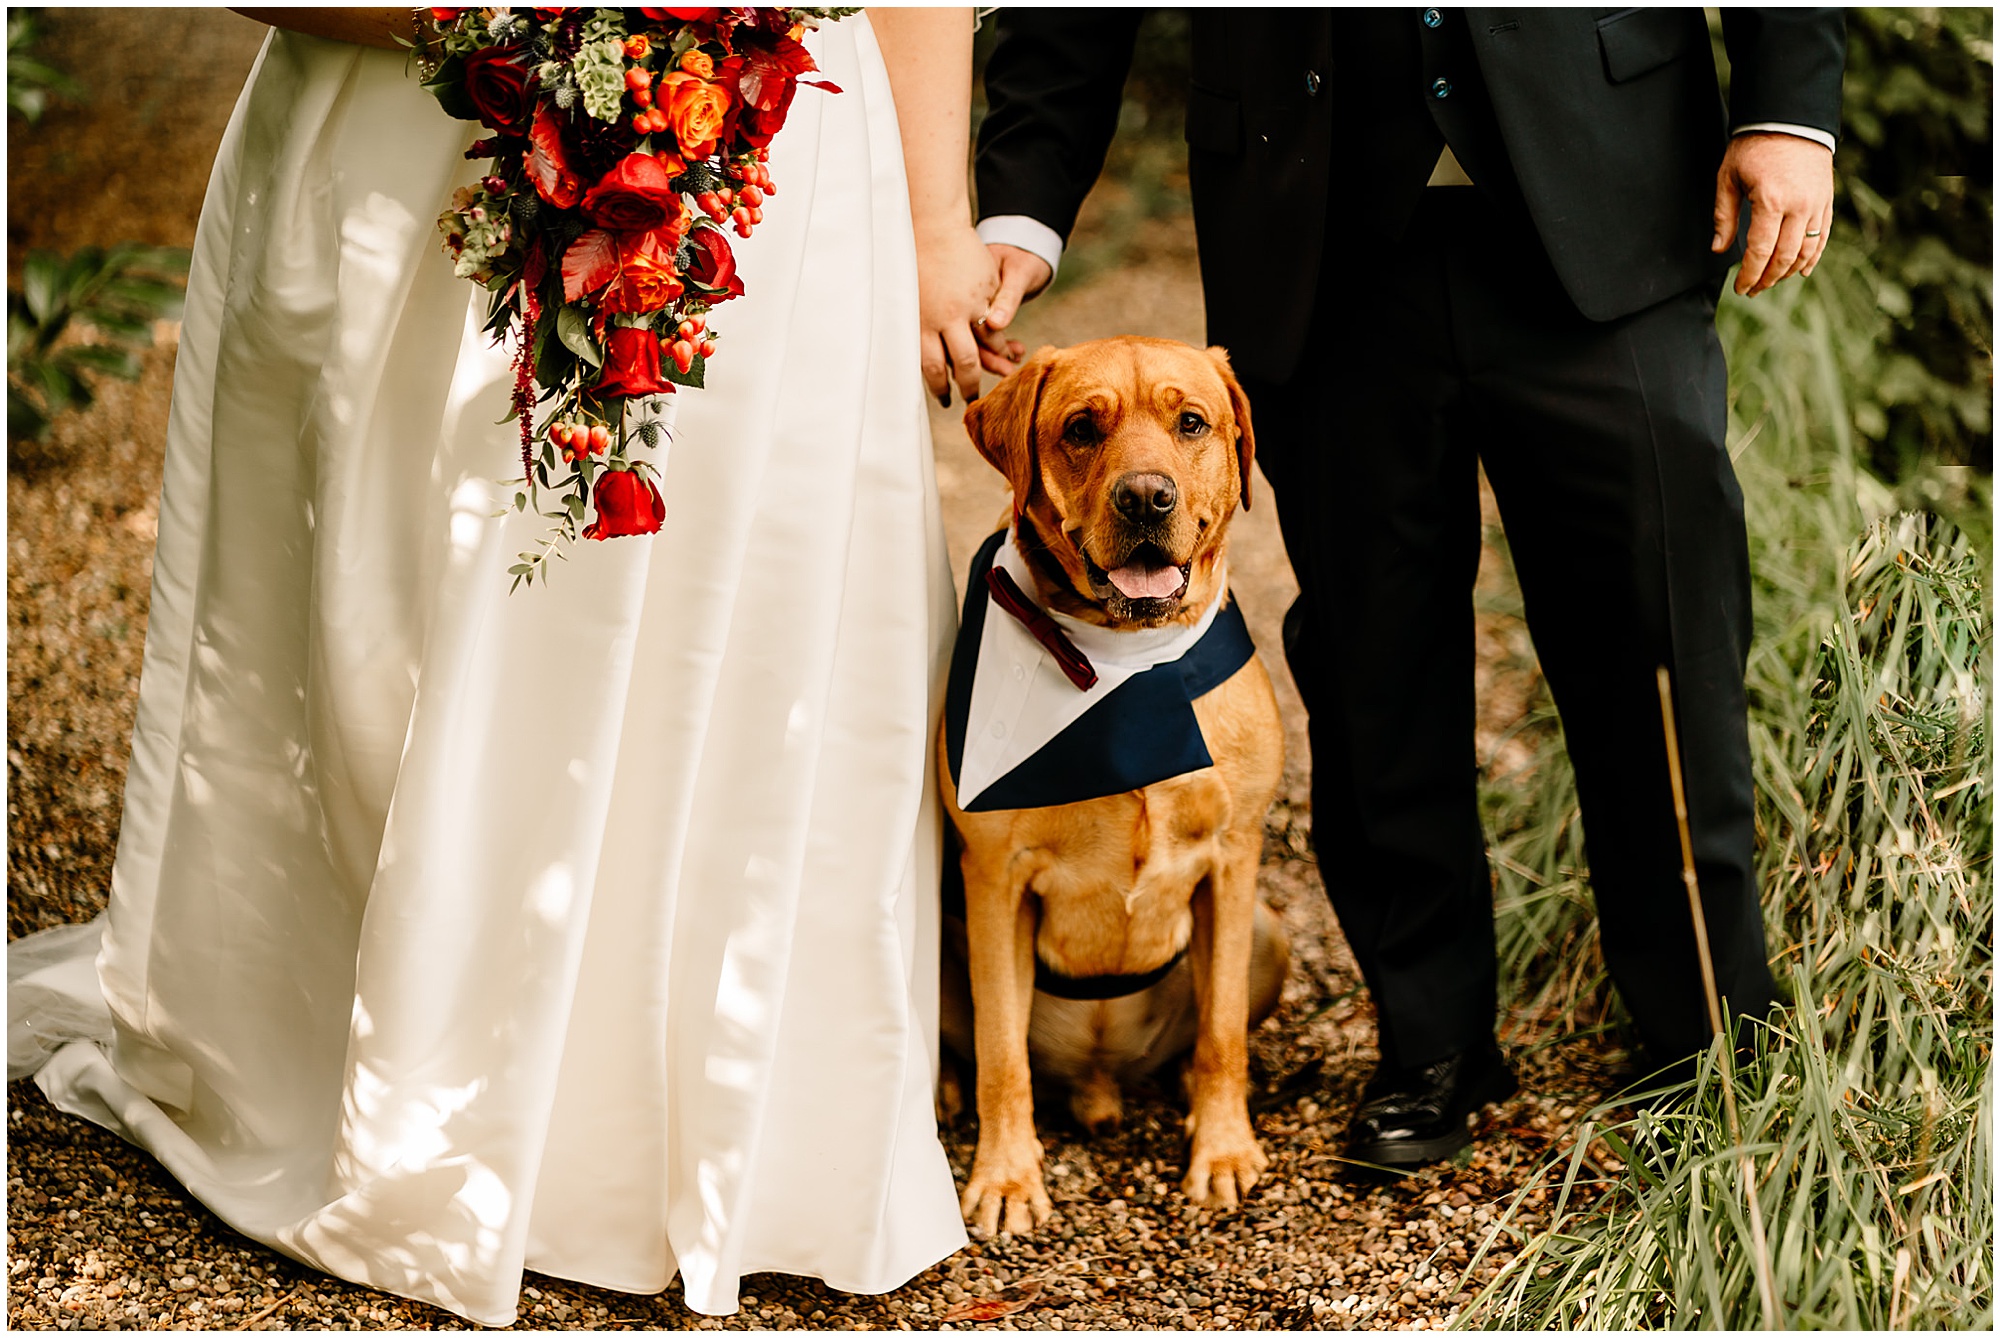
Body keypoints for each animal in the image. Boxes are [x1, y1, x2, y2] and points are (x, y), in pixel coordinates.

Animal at [940, 340, 1288, 1240]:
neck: (1123, 665)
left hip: (1268, 930)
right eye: (1080, 429)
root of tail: (1100, 1081)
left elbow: (1223, 1033)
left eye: (1192, 422)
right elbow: (1001, 1053)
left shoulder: (1233, 859)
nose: (1145, 497)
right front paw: (1006, 1176)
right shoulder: (995, 880)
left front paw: (1223, 1149)